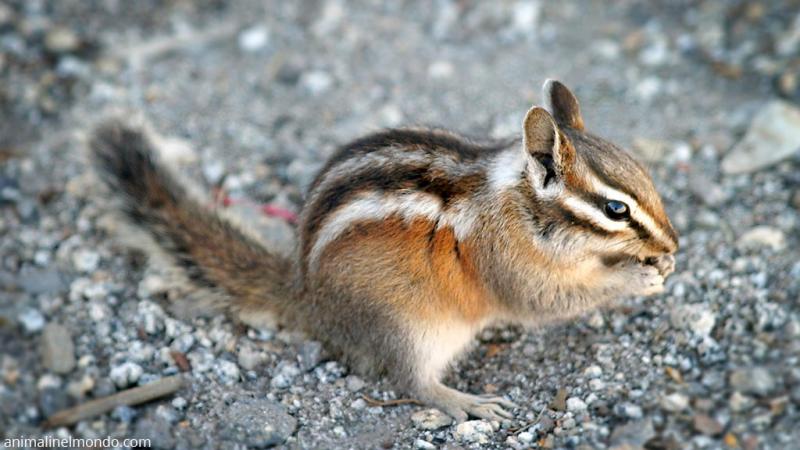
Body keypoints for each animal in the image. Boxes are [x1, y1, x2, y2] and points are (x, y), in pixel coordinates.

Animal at [89, 80, 678, 423]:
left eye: (646, 177)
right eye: (616, 209)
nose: (674, 242)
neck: (519, 202)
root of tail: (307, 298)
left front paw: (657, 263)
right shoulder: (511, 266)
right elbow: (547, 302)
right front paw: (634, 277)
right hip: (409, 327)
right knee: (411, 381)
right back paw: (466, 402)